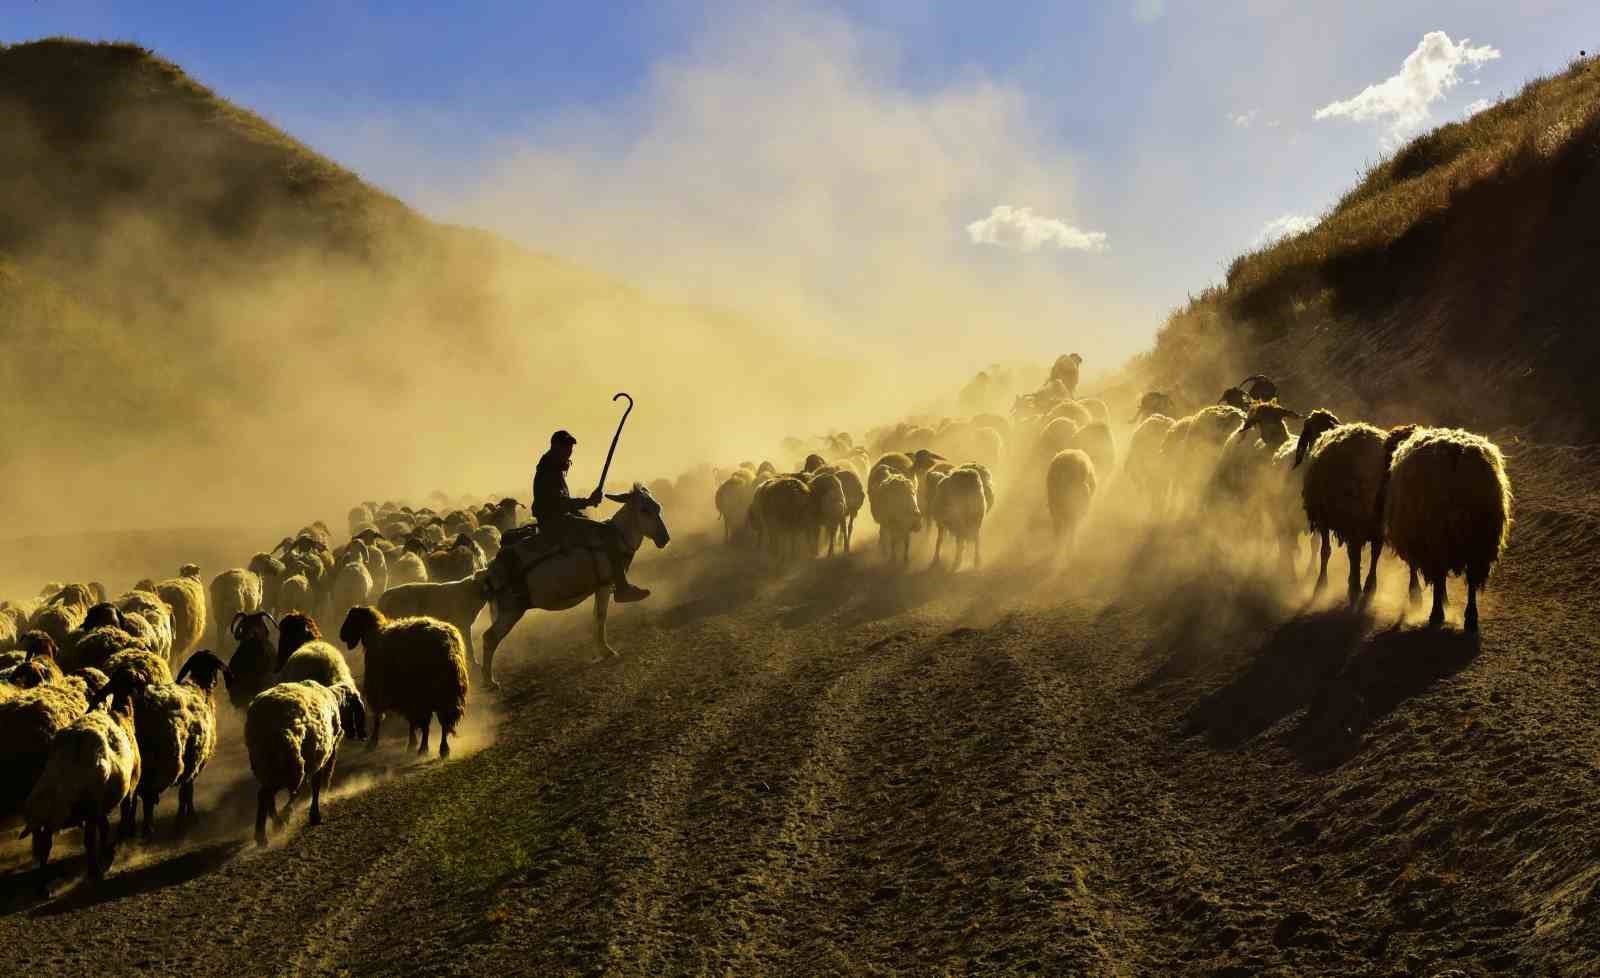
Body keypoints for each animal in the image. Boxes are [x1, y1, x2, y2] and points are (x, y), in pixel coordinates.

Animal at [336, 608, 467, 761]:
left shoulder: (380, 688)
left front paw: (373, 743)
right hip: (446, 692)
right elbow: (411, 721)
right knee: (443, 721)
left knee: (430, 722)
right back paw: (442, 750)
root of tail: (448, 648)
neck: (374, 634)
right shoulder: (407, 695)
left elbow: (378, 717)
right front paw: (412, 744)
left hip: (427, 691)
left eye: (352, 619)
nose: (341, 635)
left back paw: (426, 749)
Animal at [480, 486, 668, 691]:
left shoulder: (599, 587)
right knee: (489, 638)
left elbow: (596, 617)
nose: (664, 538)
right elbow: (600, 617)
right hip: (512, 610)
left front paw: (602, 650)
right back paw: (489, 681)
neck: (619, 537)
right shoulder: (604, 585)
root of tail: (492, 568)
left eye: (657, 507)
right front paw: (607, 651)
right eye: (644, 510)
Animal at [1388, 428, 1510, 633]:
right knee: (1471, 579)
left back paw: (1437, 614)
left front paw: (1417, 598)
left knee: (1439, 574)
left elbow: (1417, 571)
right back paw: (1470, 618)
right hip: (1480, 539)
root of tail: (1456, 455)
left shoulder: (1414, 539)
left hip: (1437, 533)